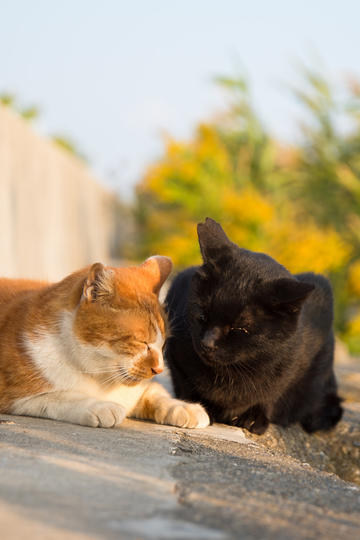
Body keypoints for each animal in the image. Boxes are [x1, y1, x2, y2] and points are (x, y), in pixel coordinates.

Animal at [0, 258, 210, 430]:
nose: (158, 369)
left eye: (163, 344)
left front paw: (183, 406)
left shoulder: (140, 390)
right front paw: (100, 406)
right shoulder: (16, 395)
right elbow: (60, 396)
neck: (99, 377)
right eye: (141, 342)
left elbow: (157, 393)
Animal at [165, 217, 342, 432]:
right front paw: (200, 408)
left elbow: (273, 392)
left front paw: (254, 417)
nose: (207, 343)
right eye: (202, 315)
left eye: (240, 328)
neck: (232, 373)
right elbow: (186, 385)